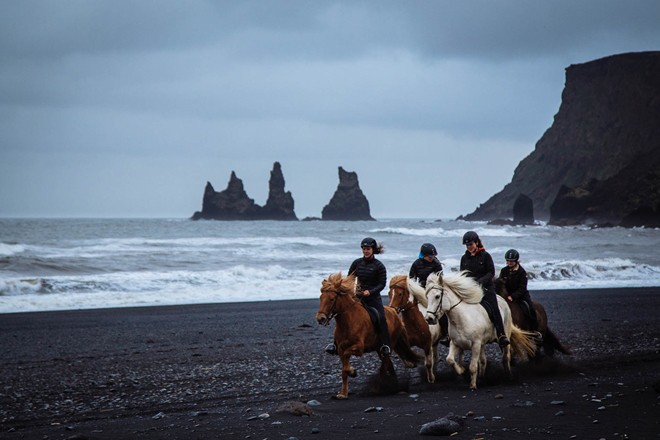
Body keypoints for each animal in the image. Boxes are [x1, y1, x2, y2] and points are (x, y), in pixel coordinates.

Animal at [410, 272, 540, 388]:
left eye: (437, 296)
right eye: (427, 297)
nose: (429, 318)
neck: (461, 319)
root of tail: (503, 300)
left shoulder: (475, 344)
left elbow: (473, 367)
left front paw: (472, 385)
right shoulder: (456, 344)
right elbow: (450, 359)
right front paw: (462, 371)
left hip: (504, 338)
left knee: (505, 358)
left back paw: (509, 377)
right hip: (482, 344)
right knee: (483, 361)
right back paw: (482, 378)